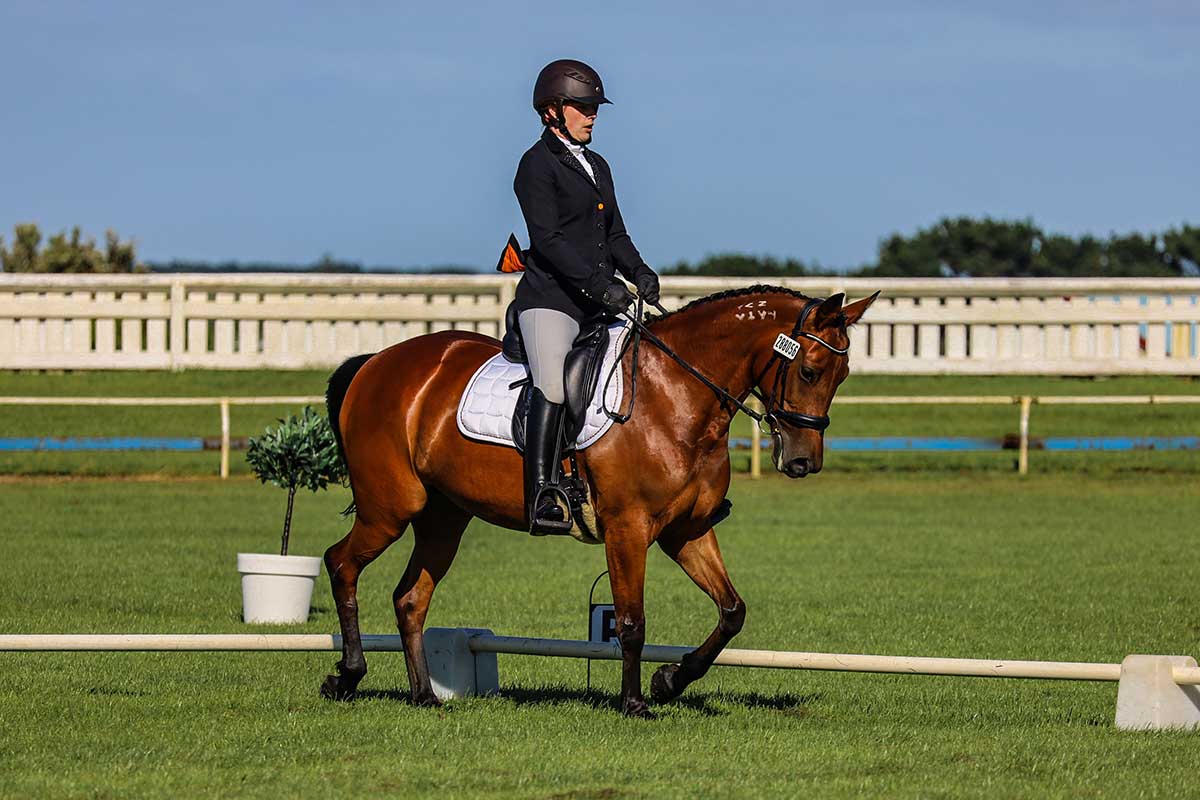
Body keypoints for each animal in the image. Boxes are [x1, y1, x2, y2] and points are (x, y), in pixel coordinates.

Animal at [324, 284, 878, 714]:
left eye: (842, 376)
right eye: (809, 371)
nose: (803, 462)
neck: (675, 393)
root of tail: (378, 361)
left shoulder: (687, 531)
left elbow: (732, 611)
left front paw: (669, 681)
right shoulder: (627, 528)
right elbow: (631, 621)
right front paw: (635, 703)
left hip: (443, 519)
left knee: (410, 599)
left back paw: (424, 695)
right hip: (390, 510)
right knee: (340, 564)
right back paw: (347, 675)